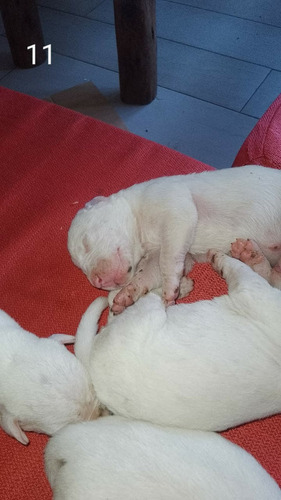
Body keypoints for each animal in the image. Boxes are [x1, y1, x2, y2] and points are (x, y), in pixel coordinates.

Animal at [68, 165, 281, 312]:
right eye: (81, 268)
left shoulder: (175, 210)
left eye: (86, 243)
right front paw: (127, 294)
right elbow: (148, 273)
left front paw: (171, 289)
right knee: (271, 279)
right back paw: (249, 254)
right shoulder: (163, 252)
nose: (97, 282)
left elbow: (167, 259)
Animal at [73, 248, 280, 432]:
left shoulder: (250, 288)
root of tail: (92, 363)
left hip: (146, 311)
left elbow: (236, 266)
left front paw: (220, 256)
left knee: (127, 300)